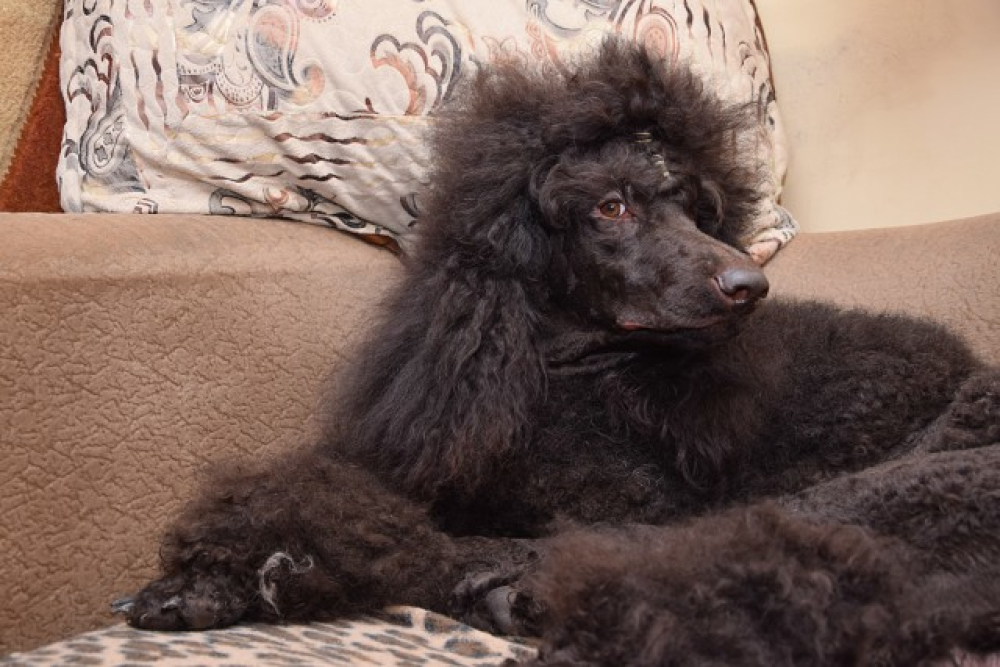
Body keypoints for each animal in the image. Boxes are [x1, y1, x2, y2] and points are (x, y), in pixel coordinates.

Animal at [125, 40, 1000, 666]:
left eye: (696, 208)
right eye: (611, 207)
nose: (750, 284)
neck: (571, 378)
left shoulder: (630, 509)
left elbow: (448, 543)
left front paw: (275, 570)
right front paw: (203, 576)